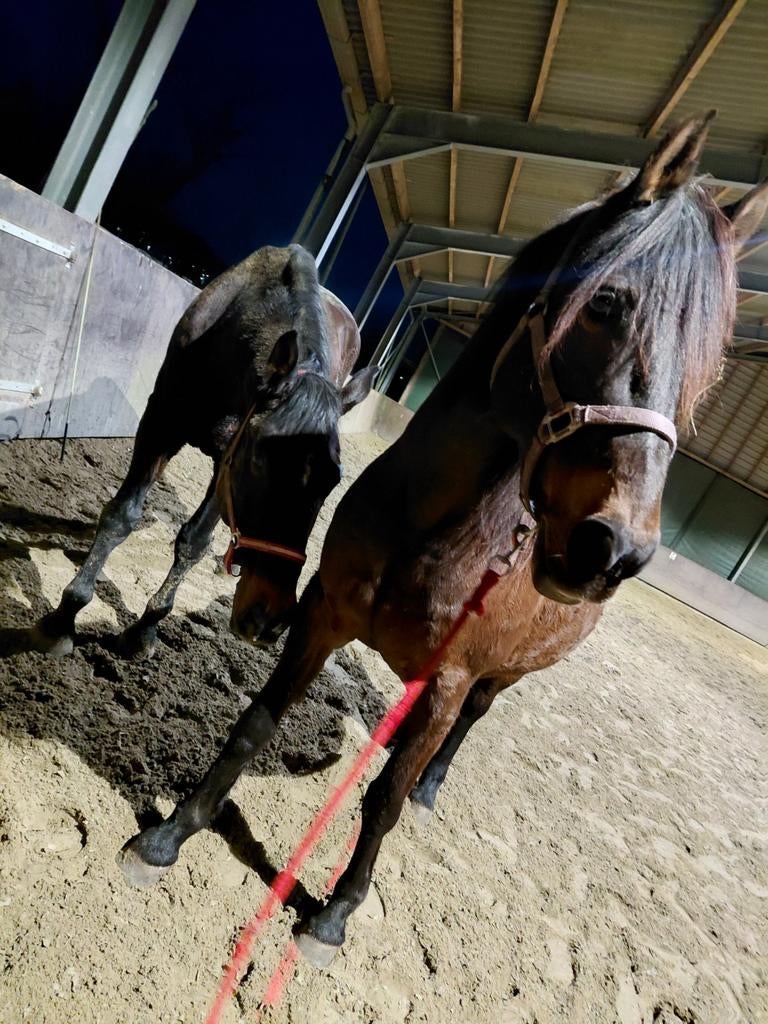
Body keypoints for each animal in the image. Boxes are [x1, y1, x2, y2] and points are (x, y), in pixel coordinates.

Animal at [29, 244, 374, 658]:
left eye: (332, 482)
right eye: (260, 460)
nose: (269, 618)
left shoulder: (225, 466)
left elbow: (193, 542)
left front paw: (145, 629)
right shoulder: (162, 424)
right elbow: (121, 516)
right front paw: (64, 617)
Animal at [117, 115, 768, 965]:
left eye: (706, 371)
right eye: (606, 304)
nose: (615, 550)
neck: (433, 532)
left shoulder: (449, 680)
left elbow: (386, 799)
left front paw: (333, 915)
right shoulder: (321, 617)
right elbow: (254, 723)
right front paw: (170, 835)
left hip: (504, 676)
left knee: (464, 732)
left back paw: (431, 786)